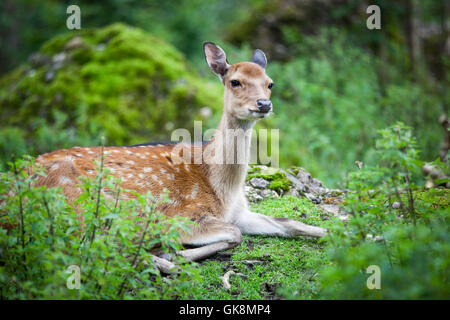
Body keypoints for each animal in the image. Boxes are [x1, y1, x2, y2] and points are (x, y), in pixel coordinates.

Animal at [32, 42, 326, 272]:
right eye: (235, 81)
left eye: (269, 83)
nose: (264, 104)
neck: (223, 187)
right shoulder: (183, 215)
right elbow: (235, 233)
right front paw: (178, 252)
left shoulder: (241, 213)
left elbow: (291, 223)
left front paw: (332, 235)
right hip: (94, 207)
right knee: (88, 247)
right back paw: (162, 258)